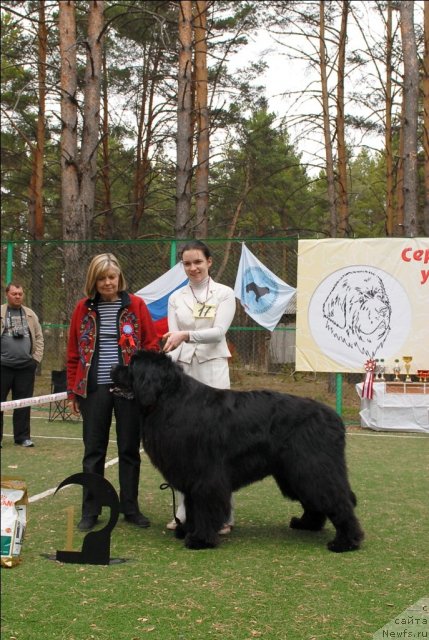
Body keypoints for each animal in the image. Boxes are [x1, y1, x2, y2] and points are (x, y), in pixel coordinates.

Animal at [110, 348, 362, 552]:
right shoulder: (190, 474)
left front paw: (200, 539)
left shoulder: (206, 475)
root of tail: (334, 418)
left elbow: (204, 506)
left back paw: (346, 541)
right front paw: (187, 530)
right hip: (294, 472)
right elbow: (192, 505)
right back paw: (306, 524)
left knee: (337, 499)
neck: (169, 399)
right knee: (316, 501)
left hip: (311, 467)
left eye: (132, 365)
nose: (112, 368)